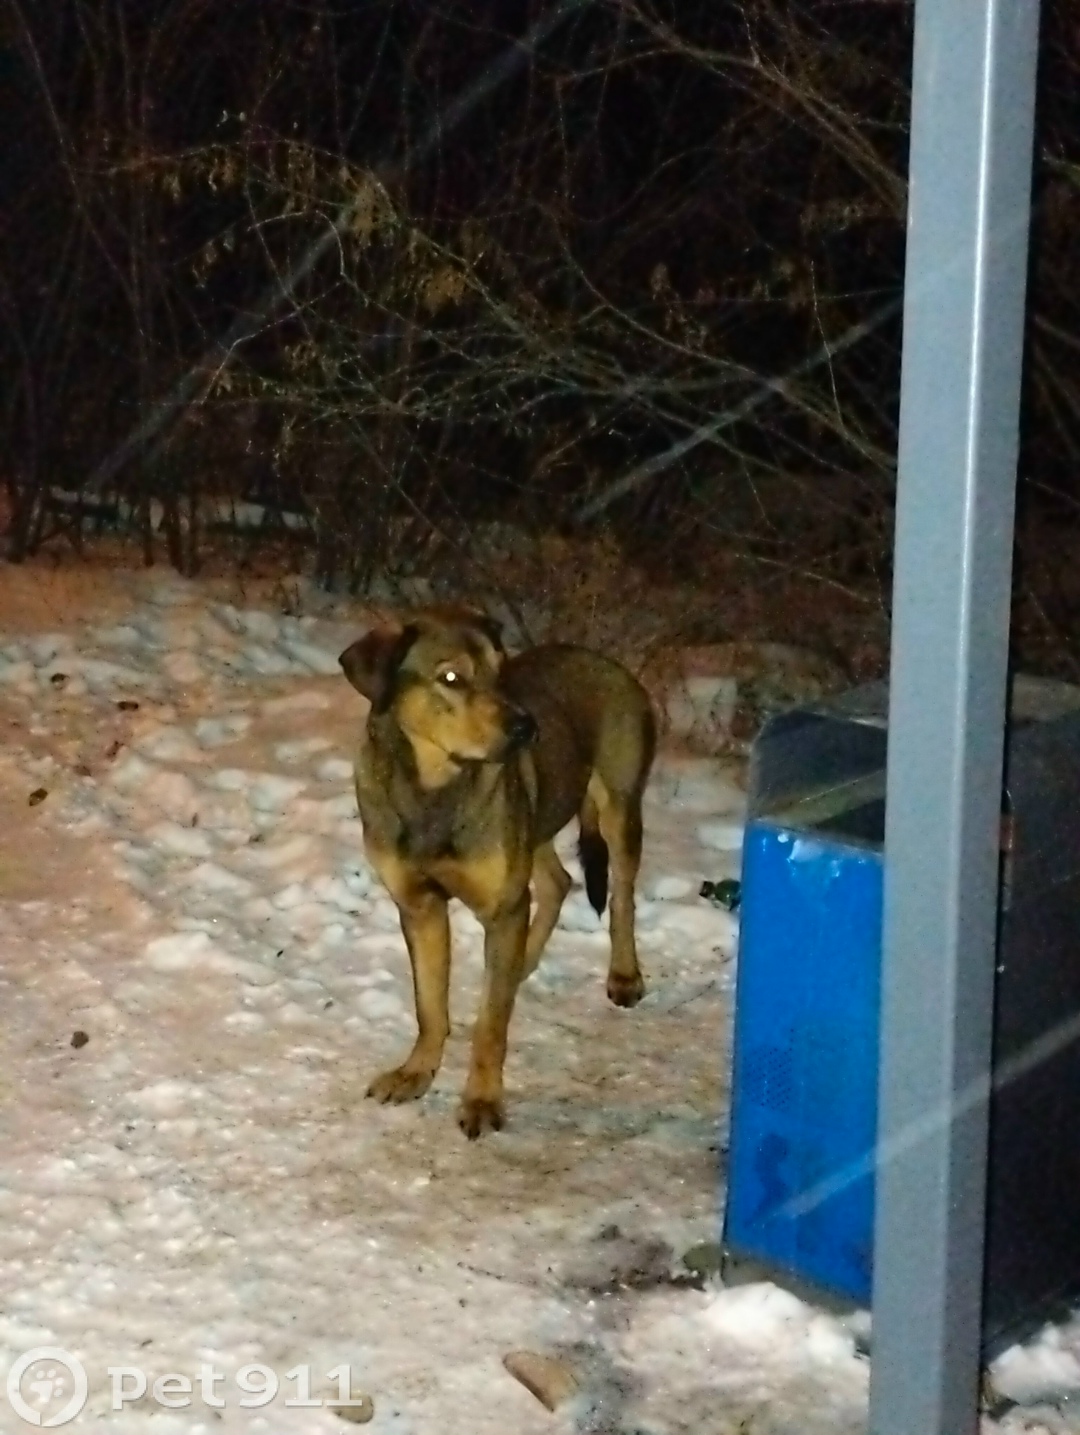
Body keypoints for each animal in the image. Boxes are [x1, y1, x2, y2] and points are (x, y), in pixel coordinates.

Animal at [338, 607, 657, 1138]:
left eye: (499, 670)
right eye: (451, 678)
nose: (527, 728)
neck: (434, 788)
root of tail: (601, 658)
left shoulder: (502, 905)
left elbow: (491, 1025)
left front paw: (483, 1100)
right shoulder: (420, 906)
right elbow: (429, 1005)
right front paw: (416, 1072)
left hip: (618, 804)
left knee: (622, 897)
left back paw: (623, 973)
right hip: (538, 819)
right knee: (557, 882)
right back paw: (522, 962)